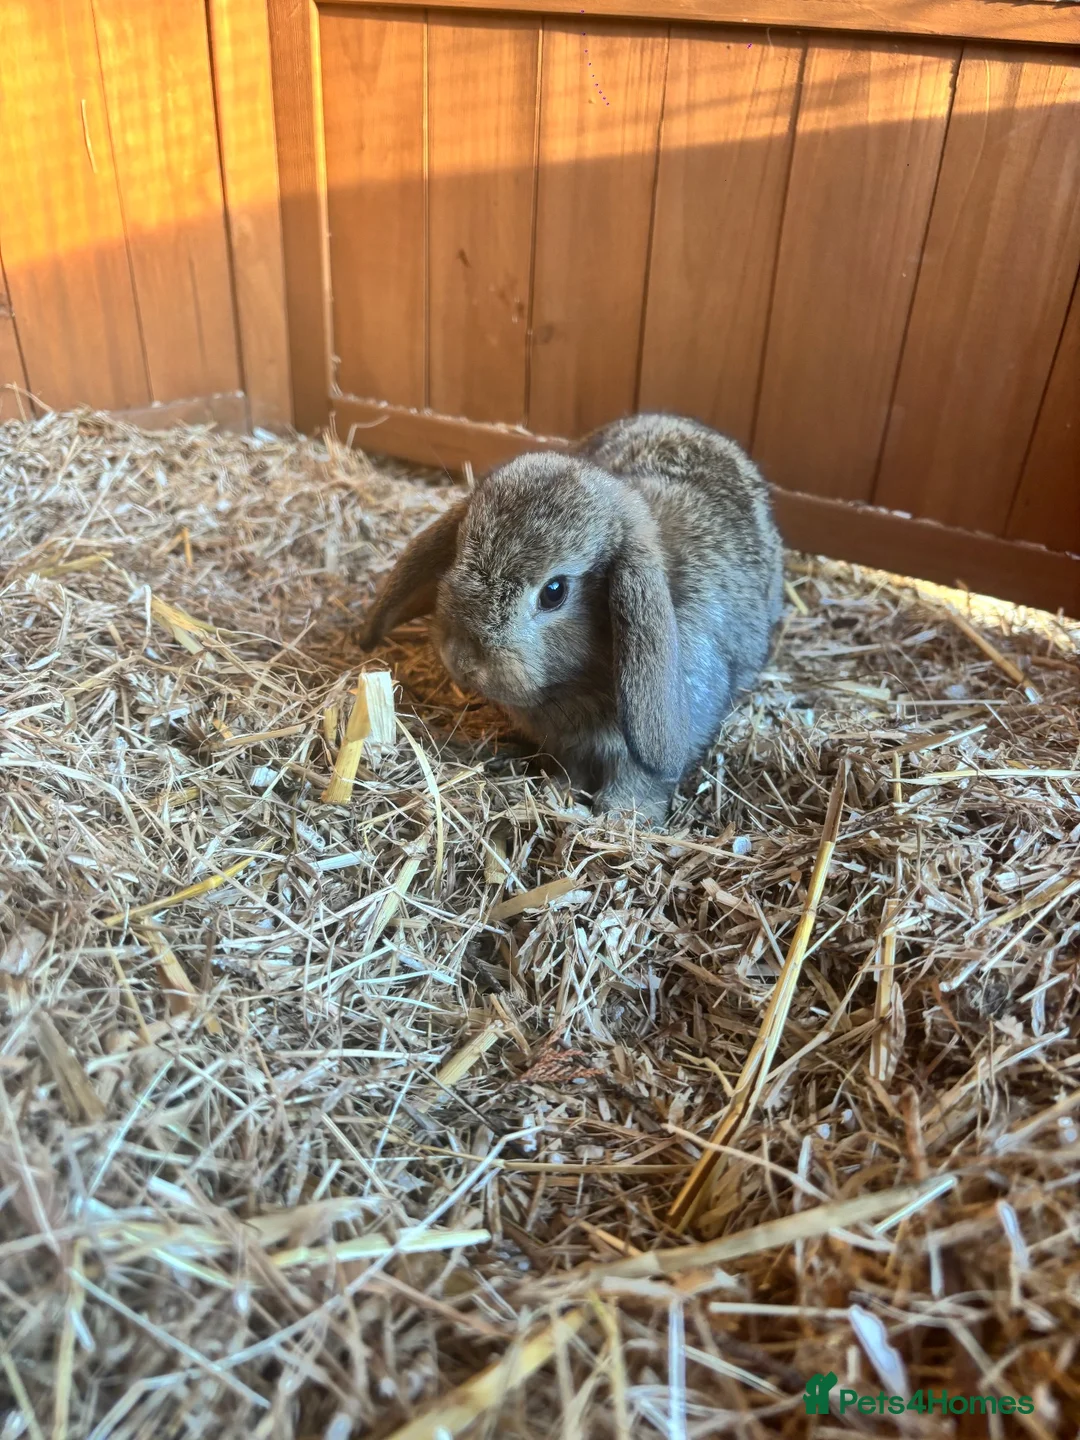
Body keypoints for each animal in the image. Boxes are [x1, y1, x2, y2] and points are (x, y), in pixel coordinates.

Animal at [358, 413, 784, 825]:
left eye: (554, 591)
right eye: (458, 553)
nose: (461, 659)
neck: (577, 683)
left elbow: (638, 780)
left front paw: (621, 816)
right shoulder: (569, 747)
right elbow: (573, 769)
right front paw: (560, 791)